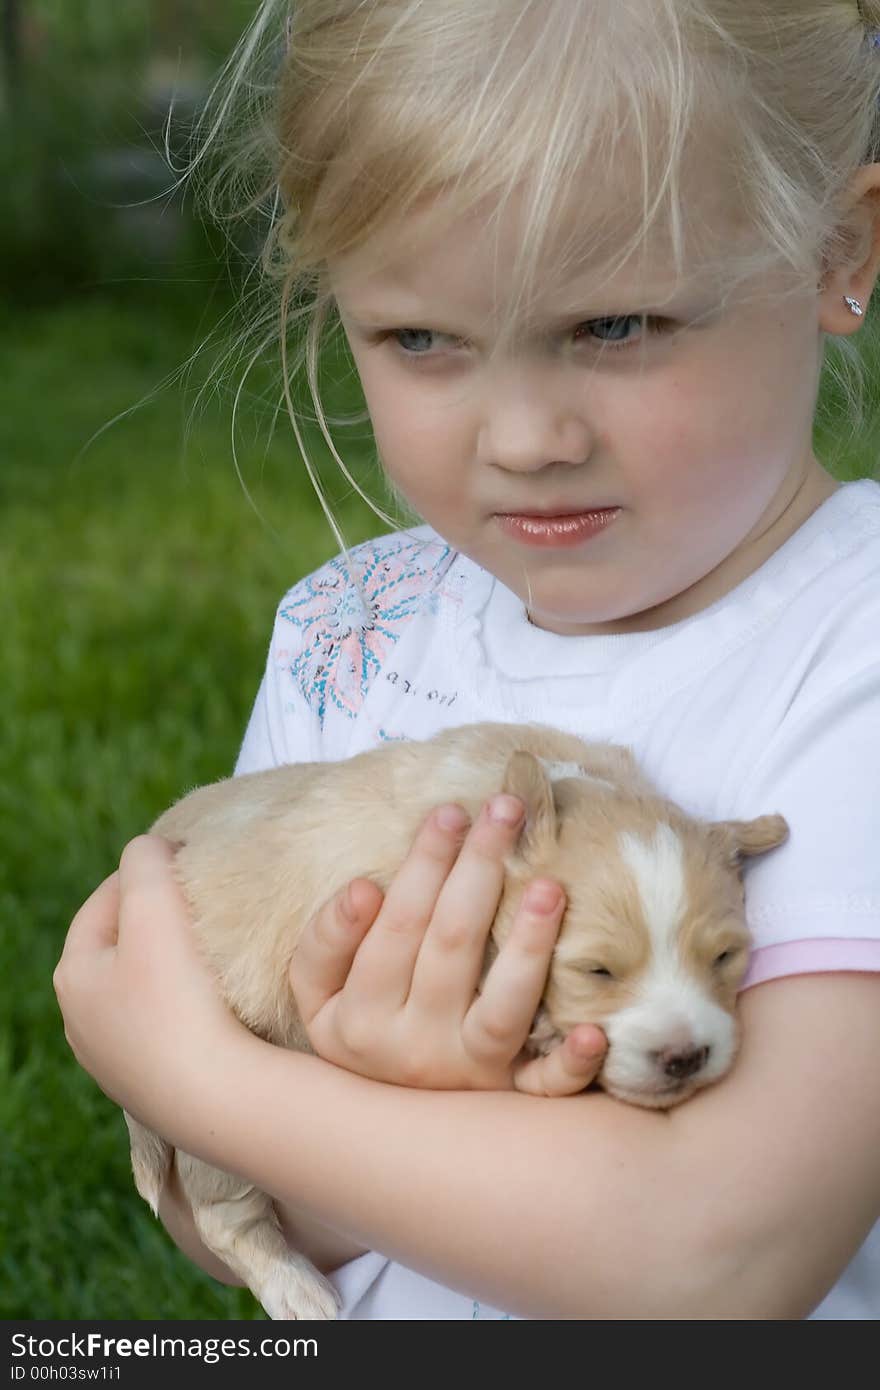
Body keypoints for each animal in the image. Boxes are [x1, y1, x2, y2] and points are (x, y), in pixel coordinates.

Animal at [121, 722, 784, 1317]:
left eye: (724, 957)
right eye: (596, 971)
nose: (685, 1057)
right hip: (204, 1134)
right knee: (223, 1215)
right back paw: (298, 1293)